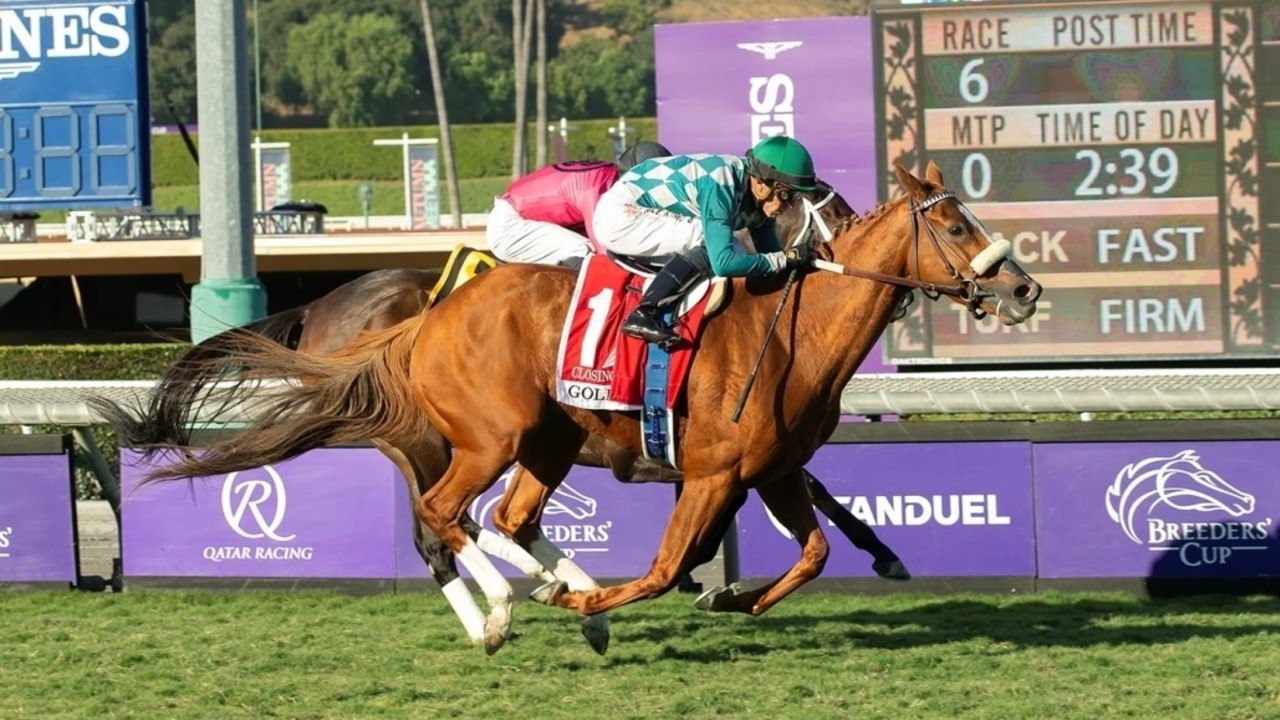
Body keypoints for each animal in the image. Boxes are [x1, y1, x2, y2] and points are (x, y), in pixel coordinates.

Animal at [120, 161, 1039, 650]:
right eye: (955, 226)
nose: (1023, 288)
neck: (790, 332)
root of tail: (418, 320)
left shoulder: (770, 468)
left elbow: (812, 551)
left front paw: (740, 593)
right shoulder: (712, 471)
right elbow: (668, 566)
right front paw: (607, 600)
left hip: (543, 440)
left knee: (501, 518)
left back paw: (536, 593)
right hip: (473, 438)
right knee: (444, 520)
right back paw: (500, 609)